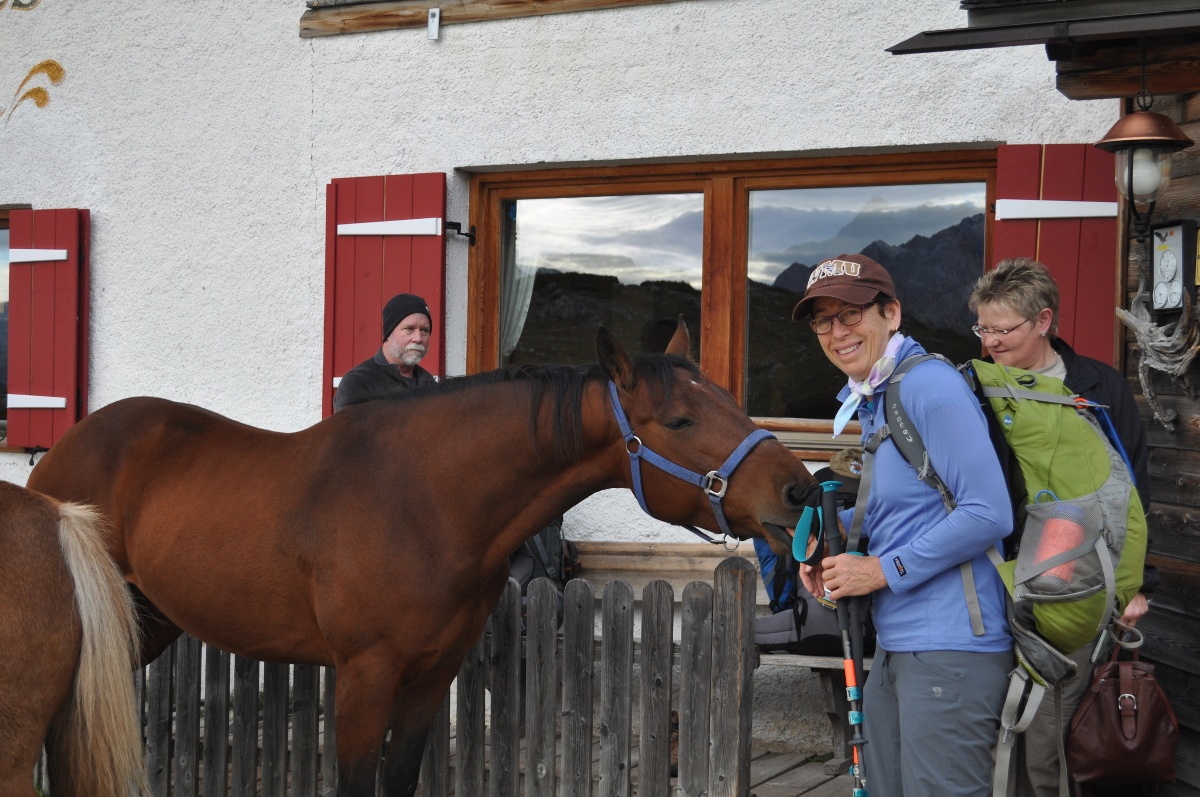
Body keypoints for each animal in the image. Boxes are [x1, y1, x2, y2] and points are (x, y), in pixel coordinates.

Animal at [28, 322, 818, 797]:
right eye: (680, 419)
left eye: (729, 397)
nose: (799, 488)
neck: (426, 500)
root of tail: (61, 450)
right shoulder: (364, 676)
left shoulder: (430, 676)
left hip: (145, 623)